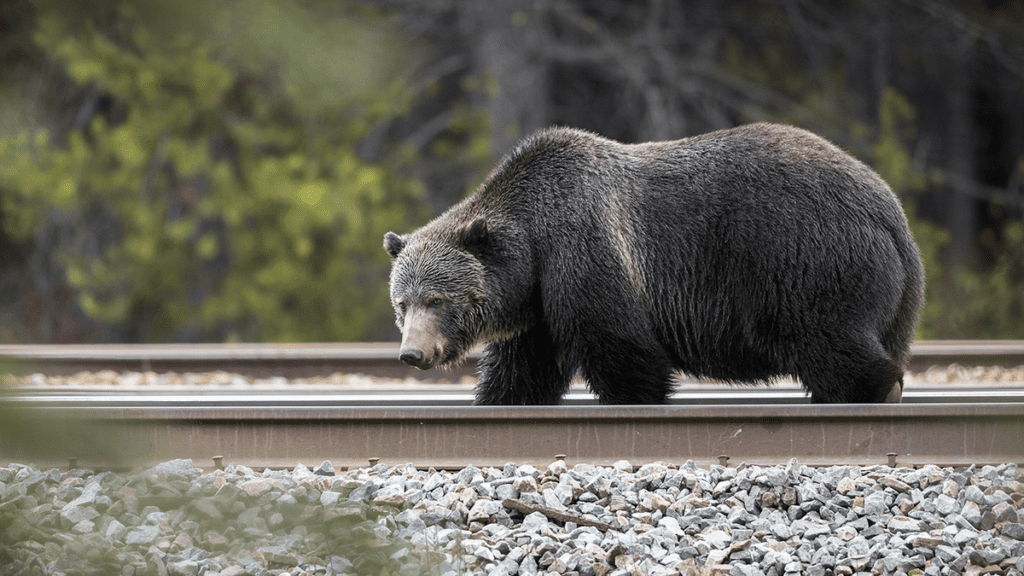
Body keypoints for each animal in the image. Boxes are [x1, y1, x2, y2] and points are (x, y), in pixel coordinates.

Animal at [385, 122, 929, 401]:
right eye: (402, 303)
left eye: (438, 300)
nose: (413, 353)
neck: (534, 247)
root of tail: (890, 210)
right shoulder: (537, 306)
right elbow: (522, 373)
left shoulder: (586, 252)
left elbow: (623, 352)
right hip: (885, 292)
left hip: (807, 262)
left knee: (832, 345)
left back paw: (873, 392)